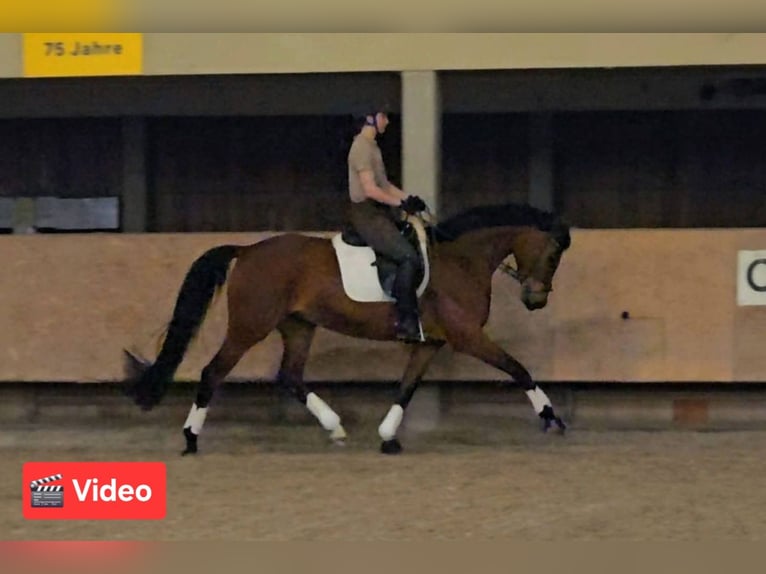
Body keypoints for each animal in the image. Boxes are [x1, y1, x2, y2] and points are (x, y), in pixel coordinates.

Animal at [123, 201, 572, 456]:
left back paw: (335, 426)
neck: (460, 259)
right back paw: (190, 439)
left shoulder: (431, 342)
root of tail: (248, 250)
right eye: (553, 254)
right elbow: (517, 368)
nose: (536, 300)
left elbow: (406, 387)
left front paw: (388, 437)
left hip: (298, 326)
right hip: (250, 326)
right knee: (213, 372)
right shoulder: (467, 336)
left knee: (290, 376)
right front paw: (551, 418)